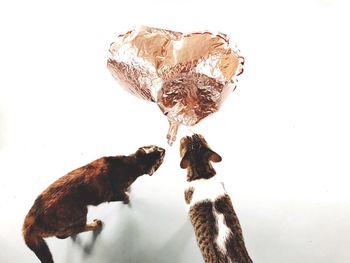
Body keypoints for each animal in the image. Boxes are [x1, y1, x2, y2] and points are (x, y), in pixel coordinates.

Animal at [22, 145, 166, 262]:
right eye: (159, 155)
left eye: (157, 149)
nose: (164, 149)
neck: (132, 164)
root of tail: (30, 222)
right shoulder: (112, 195)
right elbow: (123, 196)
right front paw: (127, 197)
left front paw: (128, 189)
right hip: (80, 211)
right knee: (76, 229)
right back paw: (95, 225)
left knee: (62, 235)